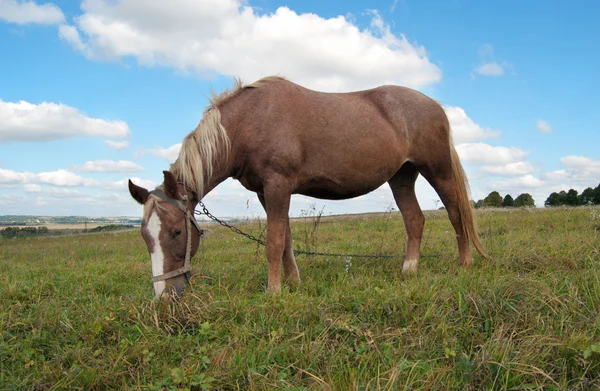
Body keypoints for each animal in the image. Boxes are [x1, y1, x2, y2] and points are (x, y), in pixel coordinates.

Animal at [127, 75, 488, 298]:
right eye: (144, 236)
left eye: (176, 231)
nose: (163, 296)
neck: (247, 123)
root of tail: (435, 106)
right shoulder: (266, 191)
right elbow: (285, 239)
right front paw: (293, 282)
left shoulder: (277, 186)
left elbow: (273, 242)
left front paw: (273, 292)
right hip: (401, 177)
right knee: (415, 219)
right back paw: (409, 270)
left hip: (437, 170)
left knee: (455, 214)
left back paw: (465, 264)